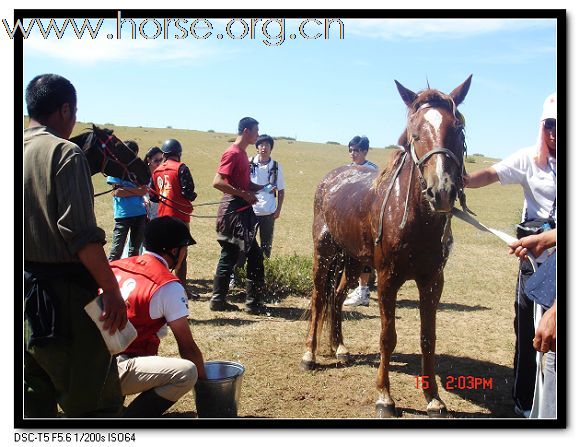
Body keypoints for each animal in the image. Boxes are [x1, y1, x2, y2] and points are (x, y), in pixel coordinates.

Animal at [302, 75, 474, 418]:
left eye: (458, 129)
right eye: (415, 133)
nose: (442, 192)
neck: (414, 218)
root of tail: (332, 178)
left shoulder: (432, 281)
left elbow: (428, 338)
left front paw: (433, 398)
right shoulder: (388, 279)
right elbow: (387, 337)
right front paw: (384, 396)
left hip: (353, 261)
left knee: (336, 297)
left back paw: (339, 347)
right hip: (324, 255)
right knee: (318, 297)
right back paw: (310, 355)